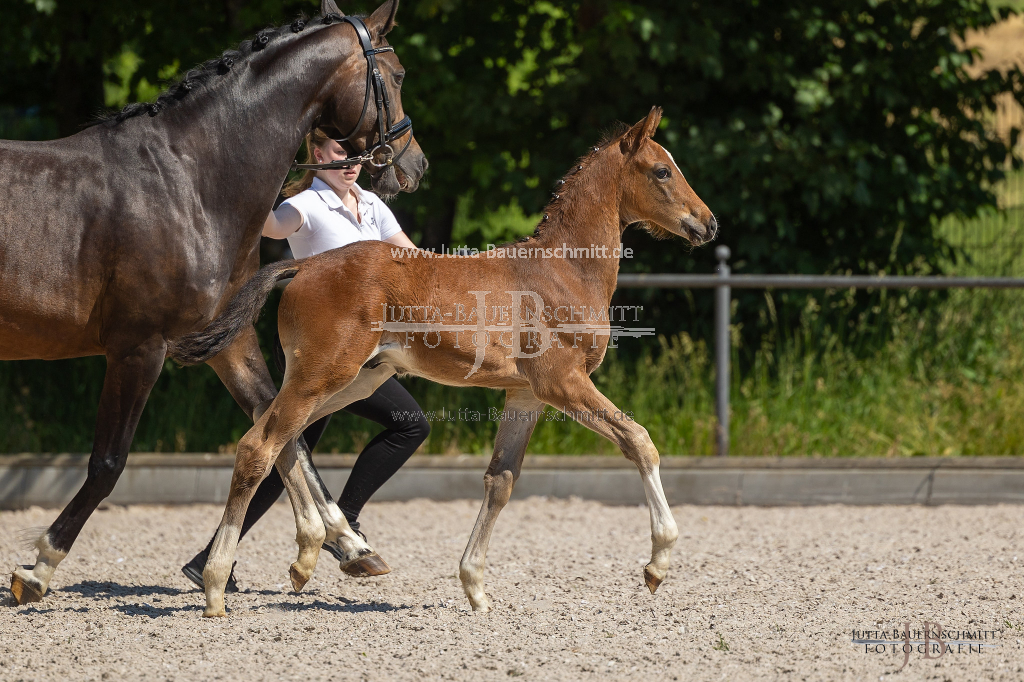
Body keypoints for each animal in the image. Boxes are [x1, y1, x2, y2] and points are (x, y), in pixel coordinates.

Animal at [172, 107, 716, 614]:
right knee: (259, 446)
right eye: (662, 170)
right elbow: (639, 441)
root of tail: (304, 264)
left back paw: (309, 554)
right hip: (321, 375)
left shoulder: (526, 395)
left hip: (354, 382)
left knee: (279, 438)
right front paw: (658, 563)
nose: (707, 223)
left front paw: (475, 587)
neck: (562, 270)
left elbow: (501, 480)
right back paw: (218, 583)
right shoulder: (563, 382)